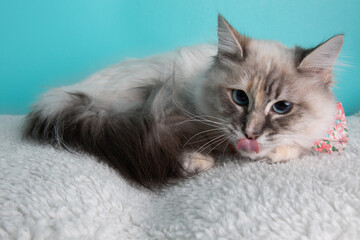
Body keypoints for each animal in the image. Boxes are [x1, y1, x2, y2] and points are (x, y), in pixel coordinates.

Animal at [23, 14, 344, 188]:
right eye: (240, 97)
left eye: (281, 107)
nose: (250, 134)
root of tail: (59, 94)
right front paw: (204, 159)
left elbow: (296, 145)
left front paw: (275, 153)